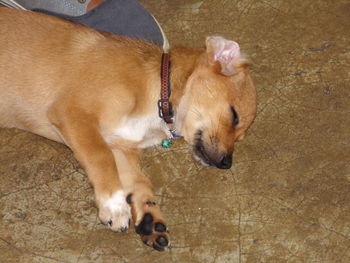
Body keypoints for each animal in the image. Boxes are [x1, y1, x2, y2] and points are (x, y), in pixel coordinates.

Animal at [0, 7, 258, 252]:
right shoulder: (73, 114)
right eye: (234, 116)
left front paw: (149, 217)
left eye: (241, 136)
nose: (226, 164)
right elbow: (100, 157)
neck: (158, 91)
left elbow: (138, 182)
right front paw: (114, 205)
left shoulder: (120, 148)